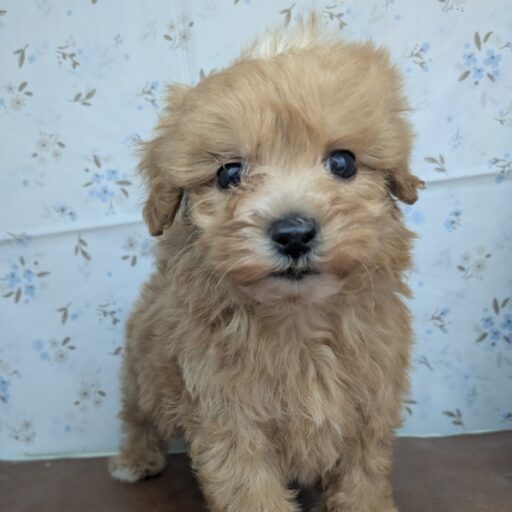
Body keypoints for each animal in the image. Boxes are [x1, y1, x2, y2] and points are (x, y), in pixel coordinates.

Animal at [109, 15, 423, 512]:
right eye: (230, 173)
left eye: (343, 162)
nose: (293, 233)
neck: (298, 320)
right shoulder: (229, 418)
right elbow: (249, 489)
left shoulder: (369, 405)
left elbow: (363, 475)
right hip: (142, 373)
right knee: (137, 414)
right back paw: (135, 460)